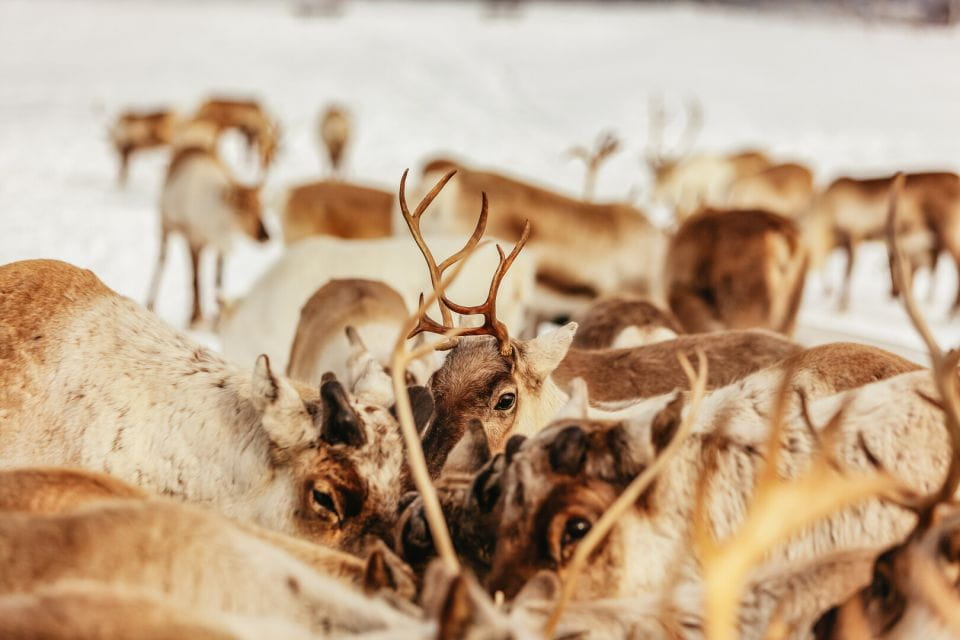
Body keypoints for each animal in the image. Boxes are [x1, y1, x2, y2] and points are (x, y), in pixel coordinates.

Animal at [146, 142, 269, 327]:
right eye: (240, 209)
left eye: (261, 206)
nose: (265, 236)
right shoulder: (193, 240)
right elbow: (196, 279)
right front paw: (194, 317)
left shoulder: (221, 246)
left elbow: (218, 281)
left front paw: (217, 314)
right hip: (166, 225)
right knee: (162, 261)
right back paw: (151, 303)